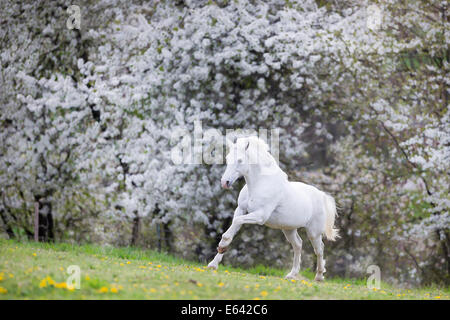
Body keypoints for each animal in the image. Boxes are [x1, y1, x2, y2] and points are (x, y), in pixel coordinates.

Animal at [207, 135, 338, 280]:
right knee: (298, 245)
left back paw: (319, 277)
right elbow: (230, 230)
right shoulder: (240, 210)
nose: (225, 182)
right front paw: (213, 263)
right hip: (289, 229)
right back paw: (291, 274)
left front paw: (221, 247)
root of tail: (321, 195)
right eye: (228, 158)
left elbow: (235, 223)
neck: (261, 183)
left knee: (319, 249)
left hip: (313, 232)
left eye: (240, 160)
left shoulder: (260, 216)